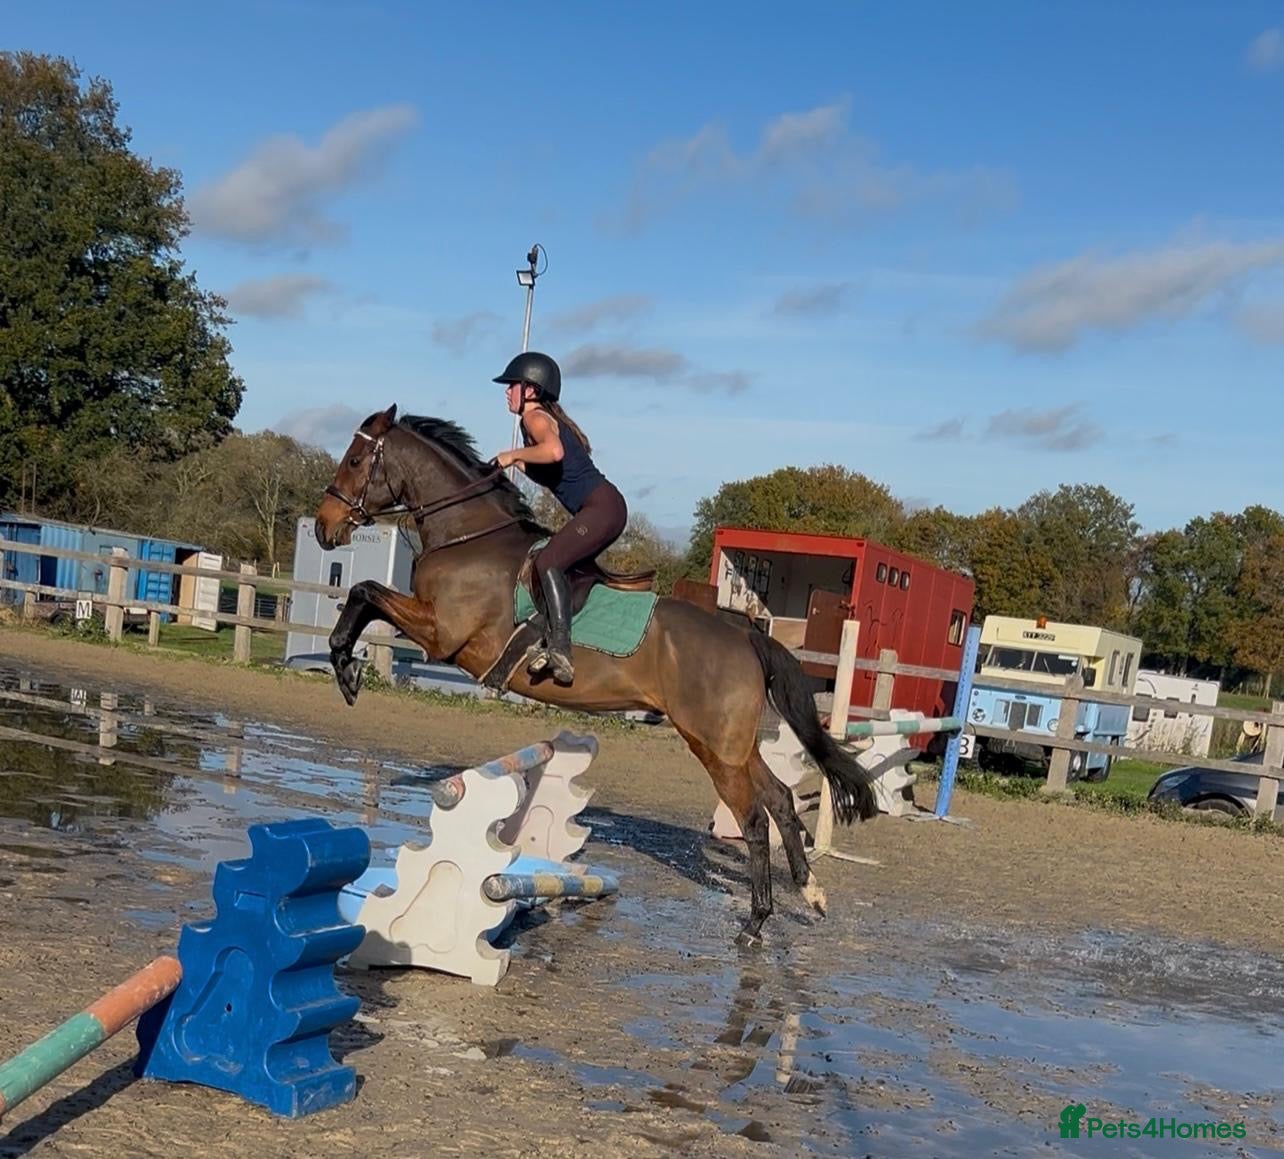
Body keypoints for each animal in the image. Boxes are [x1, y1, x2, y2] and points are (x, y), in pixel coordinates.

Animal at [313, 405, 878, 944]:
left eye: (356, 461)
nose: (324, 527)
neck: (468, 538)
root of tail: (744, 634)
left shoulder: (443, 634)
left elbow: (364, 590)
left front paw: (344, 666)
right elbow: (364, 596)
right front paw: (346, 667)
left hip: (715, 747)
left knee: (755, 818)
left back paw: (757, 922)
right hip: (731, 745)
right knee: (780, 799)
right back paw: (810, 893)